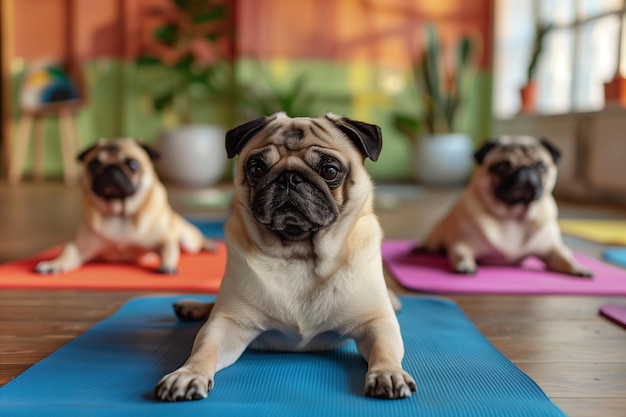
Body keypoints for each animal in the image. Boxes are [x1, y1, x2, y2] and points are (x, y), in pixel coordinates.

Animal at [34, 137, 216, 272]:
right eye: (94, 165)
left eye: (132, 164)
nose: (111, 169)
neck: (119, 212)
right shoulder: (79, 247)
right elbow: (66, 252)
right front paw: (53, 263)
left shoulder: (165, 239)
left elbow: (169, 249)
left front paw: (167, 266)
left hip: (187, 239)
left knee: (196, 239)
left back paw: (209, 245)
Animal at [153, 112, 414, 402]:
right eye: (256, 168)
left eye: (330, 171)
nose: (289, 177)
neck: (299, 255)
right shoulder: (226, 324)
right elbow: (203, 350)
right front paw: (188, 374)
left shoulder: (376, 323)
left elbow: (385, 351)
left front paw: (388, 373)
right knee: (213, 308)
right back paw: (193, 307)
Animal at [420, 133, 588, 276]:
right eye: (502, 166)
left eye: (541, 166)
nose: (525, 169)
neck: (513, 214)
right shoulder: (461, 242)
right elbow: (461, 253)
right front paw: (465, 265)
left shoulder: (551, 249)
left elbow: (565, 256)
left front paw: (578, 267)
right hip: (436, 238)